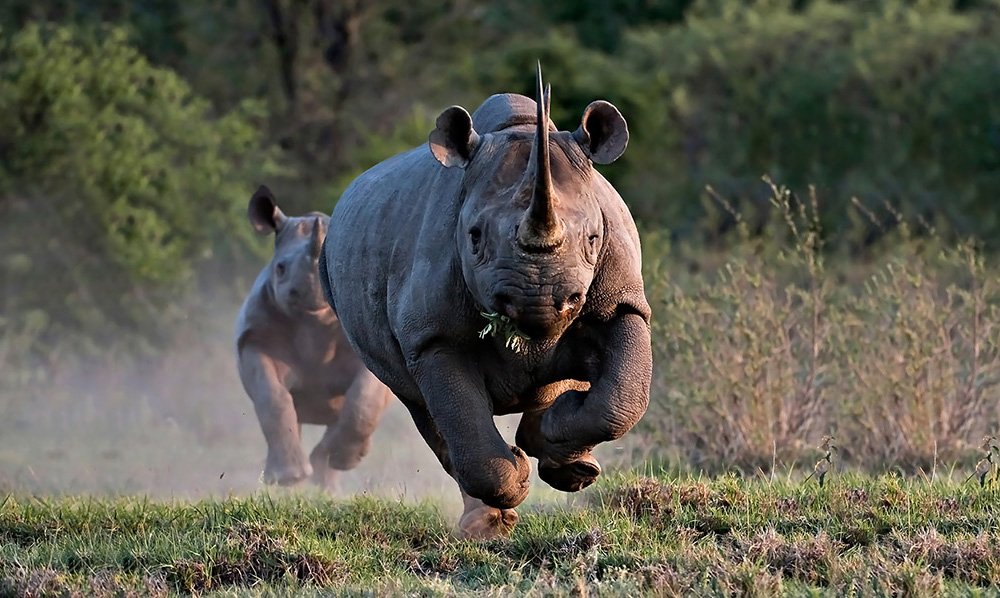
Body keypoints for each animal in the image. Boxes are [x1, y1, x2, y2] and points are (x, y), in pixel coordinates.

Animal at [235, 185, 392, 490]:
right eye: (280, 268)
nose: (309, 293)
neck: (315, 324)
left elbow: (363, 397)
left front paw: (344, 459)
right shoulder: (255, 339)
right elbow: (272, 395)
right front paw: (288, 477)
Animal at [320, 66, 651, 538]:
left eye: (592, 239)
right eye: (474, 238)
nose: (540, 299)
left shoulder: (621, 302)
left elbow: (622, 397)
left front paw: (556, 442)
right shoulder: (432, 335)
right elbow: (460, 416)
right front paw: (515, 479)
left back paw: (566, 464)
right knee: (422, 406)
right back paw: (488, 521)